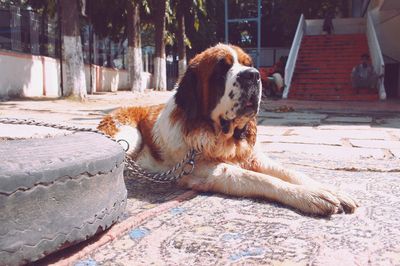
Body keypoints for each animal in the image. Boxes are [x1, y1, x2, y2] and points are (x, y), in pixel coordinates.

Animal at [98, 43, 358, 216]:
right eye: (221, 71)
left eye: (249, 65)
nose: (253, 76)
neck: (222, 136)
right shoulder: (209, 172)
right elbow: (261, 179)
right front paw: (311, 196)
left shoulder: (253, 156)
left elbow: (292, 172)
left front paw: (329, 189)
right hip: (129, 135)